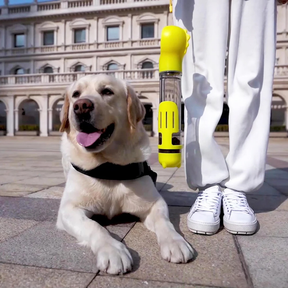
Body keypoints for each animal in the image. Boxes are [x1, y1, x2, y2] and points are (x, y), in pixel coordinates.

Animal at [56, 74, 194, 274]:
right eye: (75, 94)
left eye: (107, 91)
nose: (81, 106)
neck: (108, 166)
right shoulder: (69, 209)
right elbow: (94, 226)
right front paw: (112, 250)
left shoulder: (154, 203)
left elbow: (164, 222)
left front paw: (175, 242)